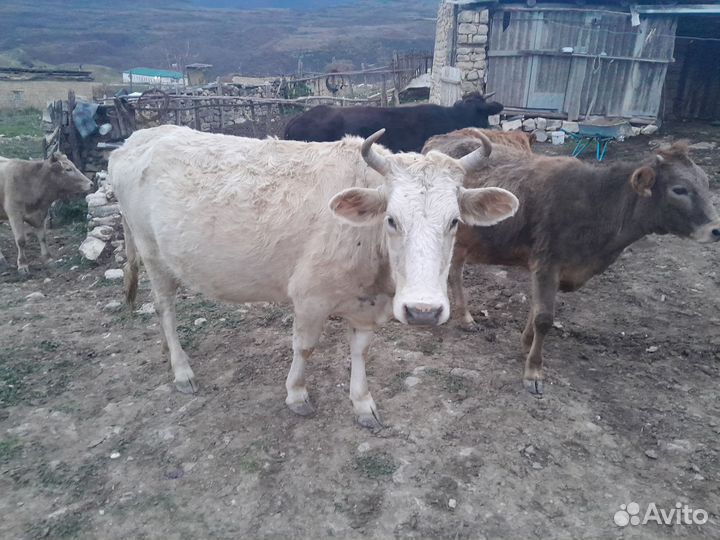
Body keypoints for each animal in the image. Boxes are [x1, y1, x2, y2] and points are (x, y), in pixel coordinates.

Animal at [110, 125, 518, 428]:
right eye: (391, 219)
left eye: (454, 221)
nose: (423, 311)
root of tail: (135, 140)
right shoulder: (309, 298)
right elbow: (304, 347)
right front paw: (297, 394)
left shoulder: (368, 306)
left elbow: (361, 350)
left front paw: (362, 402)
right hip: (152, 252)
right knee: (164, 306)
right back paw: (181, 369)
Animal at [423, 135, 720, 395]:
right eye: (679, 189)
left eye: (706, 184)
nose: (715, 230)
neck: (597, 205)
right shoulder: (547, 262)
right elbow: (544, 318)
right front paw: (534, 373)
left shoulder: (546, 268)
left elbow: (535, 310)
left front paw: (526, 343)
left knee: (455, 273)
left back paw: (465, 317)